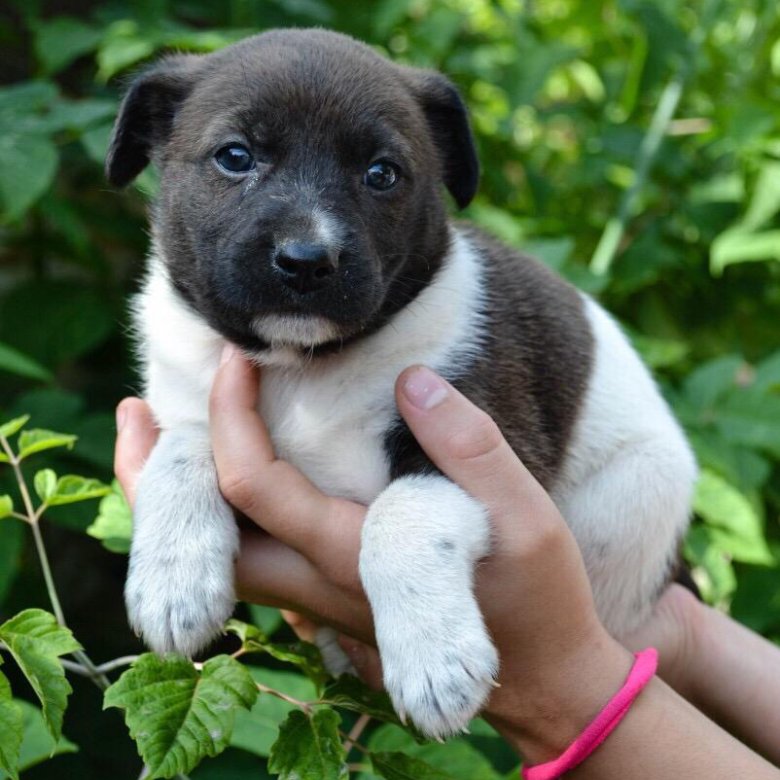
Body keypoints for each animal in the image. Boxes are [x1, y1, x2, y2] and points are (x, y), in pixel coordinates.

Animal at [105, 29, 696, 736]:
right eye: (235, 157)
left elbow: (401, 515)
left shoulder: (487, 442)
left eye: (382, 174)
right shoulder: (195, 399)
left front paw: (435, 660)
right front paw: (173, 580)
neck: (301, 369)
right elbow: (184, 447)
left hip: (634, 494)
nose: (307, 260)